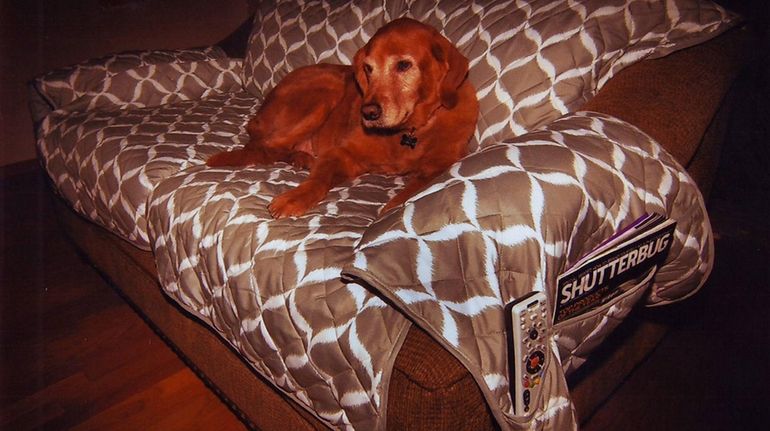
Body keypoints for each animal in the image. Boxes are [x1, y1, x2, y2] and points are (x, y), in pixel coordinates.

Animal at [207, 17, 476, 219]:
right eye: (368, 68)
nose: (368, 113)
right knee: (264, 148)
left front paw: (390, 211)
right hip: (327, 89)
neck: (410, 131)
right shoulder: (343, 153)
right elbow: (319, 179)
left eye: (403, 65)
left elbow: (410, 191)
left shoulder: (439, 165)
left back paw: (302, 158)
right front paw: (294, 198)